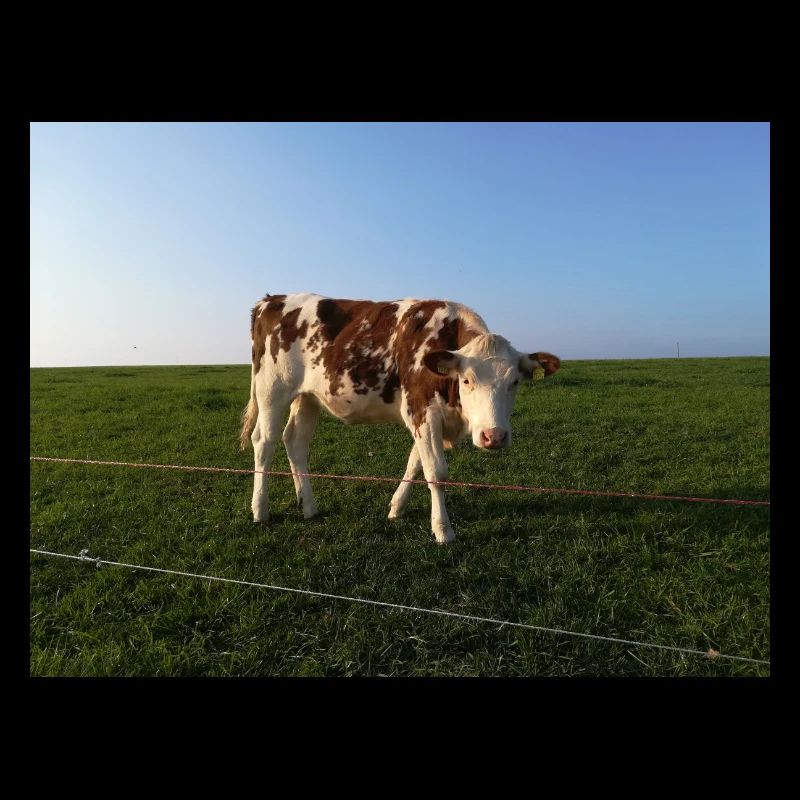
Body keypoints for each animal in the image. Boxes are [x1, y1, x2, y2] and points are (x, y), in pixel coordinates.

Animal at [240, 293, 560, 543]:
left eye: (515, 382)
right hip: (272, 390)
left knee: (295, 442)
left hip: (308, 398)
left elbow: (415, 463)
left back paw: (308, 505)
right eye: (467, 380)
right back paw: (260, 509)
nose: (494, 436)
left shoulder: (425, 417)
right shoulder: (422, 409)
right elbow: (436, 472)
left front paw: (396, 507)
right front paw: (443, 530)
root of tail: (272, 299)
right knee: (264, 442)